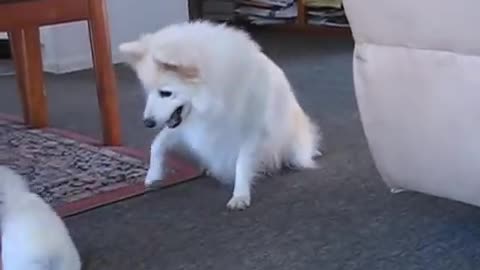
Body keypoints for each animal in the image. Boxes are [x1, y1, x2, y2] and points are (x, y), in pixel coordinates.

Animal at [119, 21, 322, 211]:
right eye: (148, 92)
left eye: (165, 93)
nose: (147, 122)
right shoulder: (189, 127)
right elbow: (157, 144)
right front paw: (152, 175)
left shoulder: (250, 132)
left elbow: (242, 163)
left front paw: (240, 195)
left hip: (294, 147)